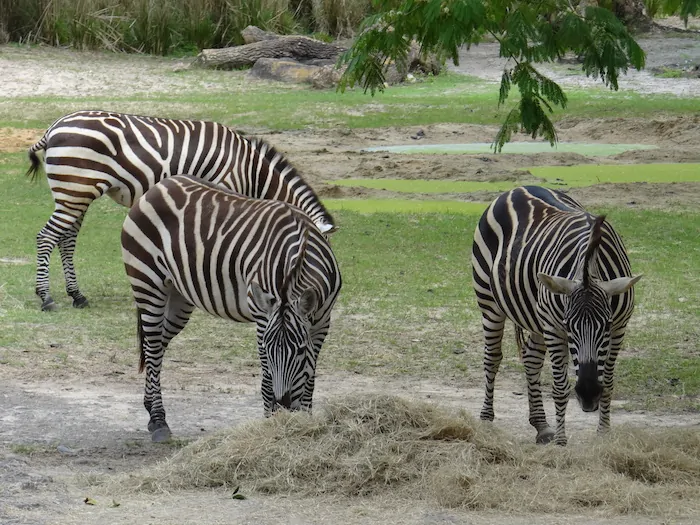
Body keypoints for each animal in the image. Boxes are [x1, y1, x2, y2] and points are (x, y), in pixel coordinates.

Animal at [26, 108, 334, 310]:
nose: (315, 303)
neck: (252, 171)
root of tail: (54, 127)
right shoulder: (225, 188)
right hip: (75, 190)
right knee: (47, 237)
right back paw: (46, 297)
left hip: (76, 194)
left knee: (66, 240)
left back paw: (77, 295)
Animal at [122, 174, 342, 440]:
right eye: (268, 350)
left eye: (299, 350)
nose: (284, 403)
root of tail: (160, 186)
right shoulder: (262, 319)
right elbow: (267, 378)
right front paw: (269, 422)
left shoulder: (321, 322)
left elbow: (309, 374)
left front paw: (305, 419)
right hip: (147, 283)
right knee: (153, 349)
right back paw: (158, 420)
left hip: (178, 298)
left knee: (157, 347)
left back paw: (150, 409)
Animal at [474, 186, 644, 444]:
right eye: (569, 326)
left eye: (606, 325)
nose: (587, 395)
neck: (588, 267)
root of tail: (518, 188)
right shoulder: (555, 328)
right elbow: (560, 387)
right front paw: (562, 442)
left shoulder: (620, 326)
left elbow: (608, 382)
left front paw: (604, 433)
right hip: (489, 301)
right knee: (492, 358)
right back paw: (486, 419)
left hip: (537, 318)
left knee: (532, 358)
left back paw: (542, 425)